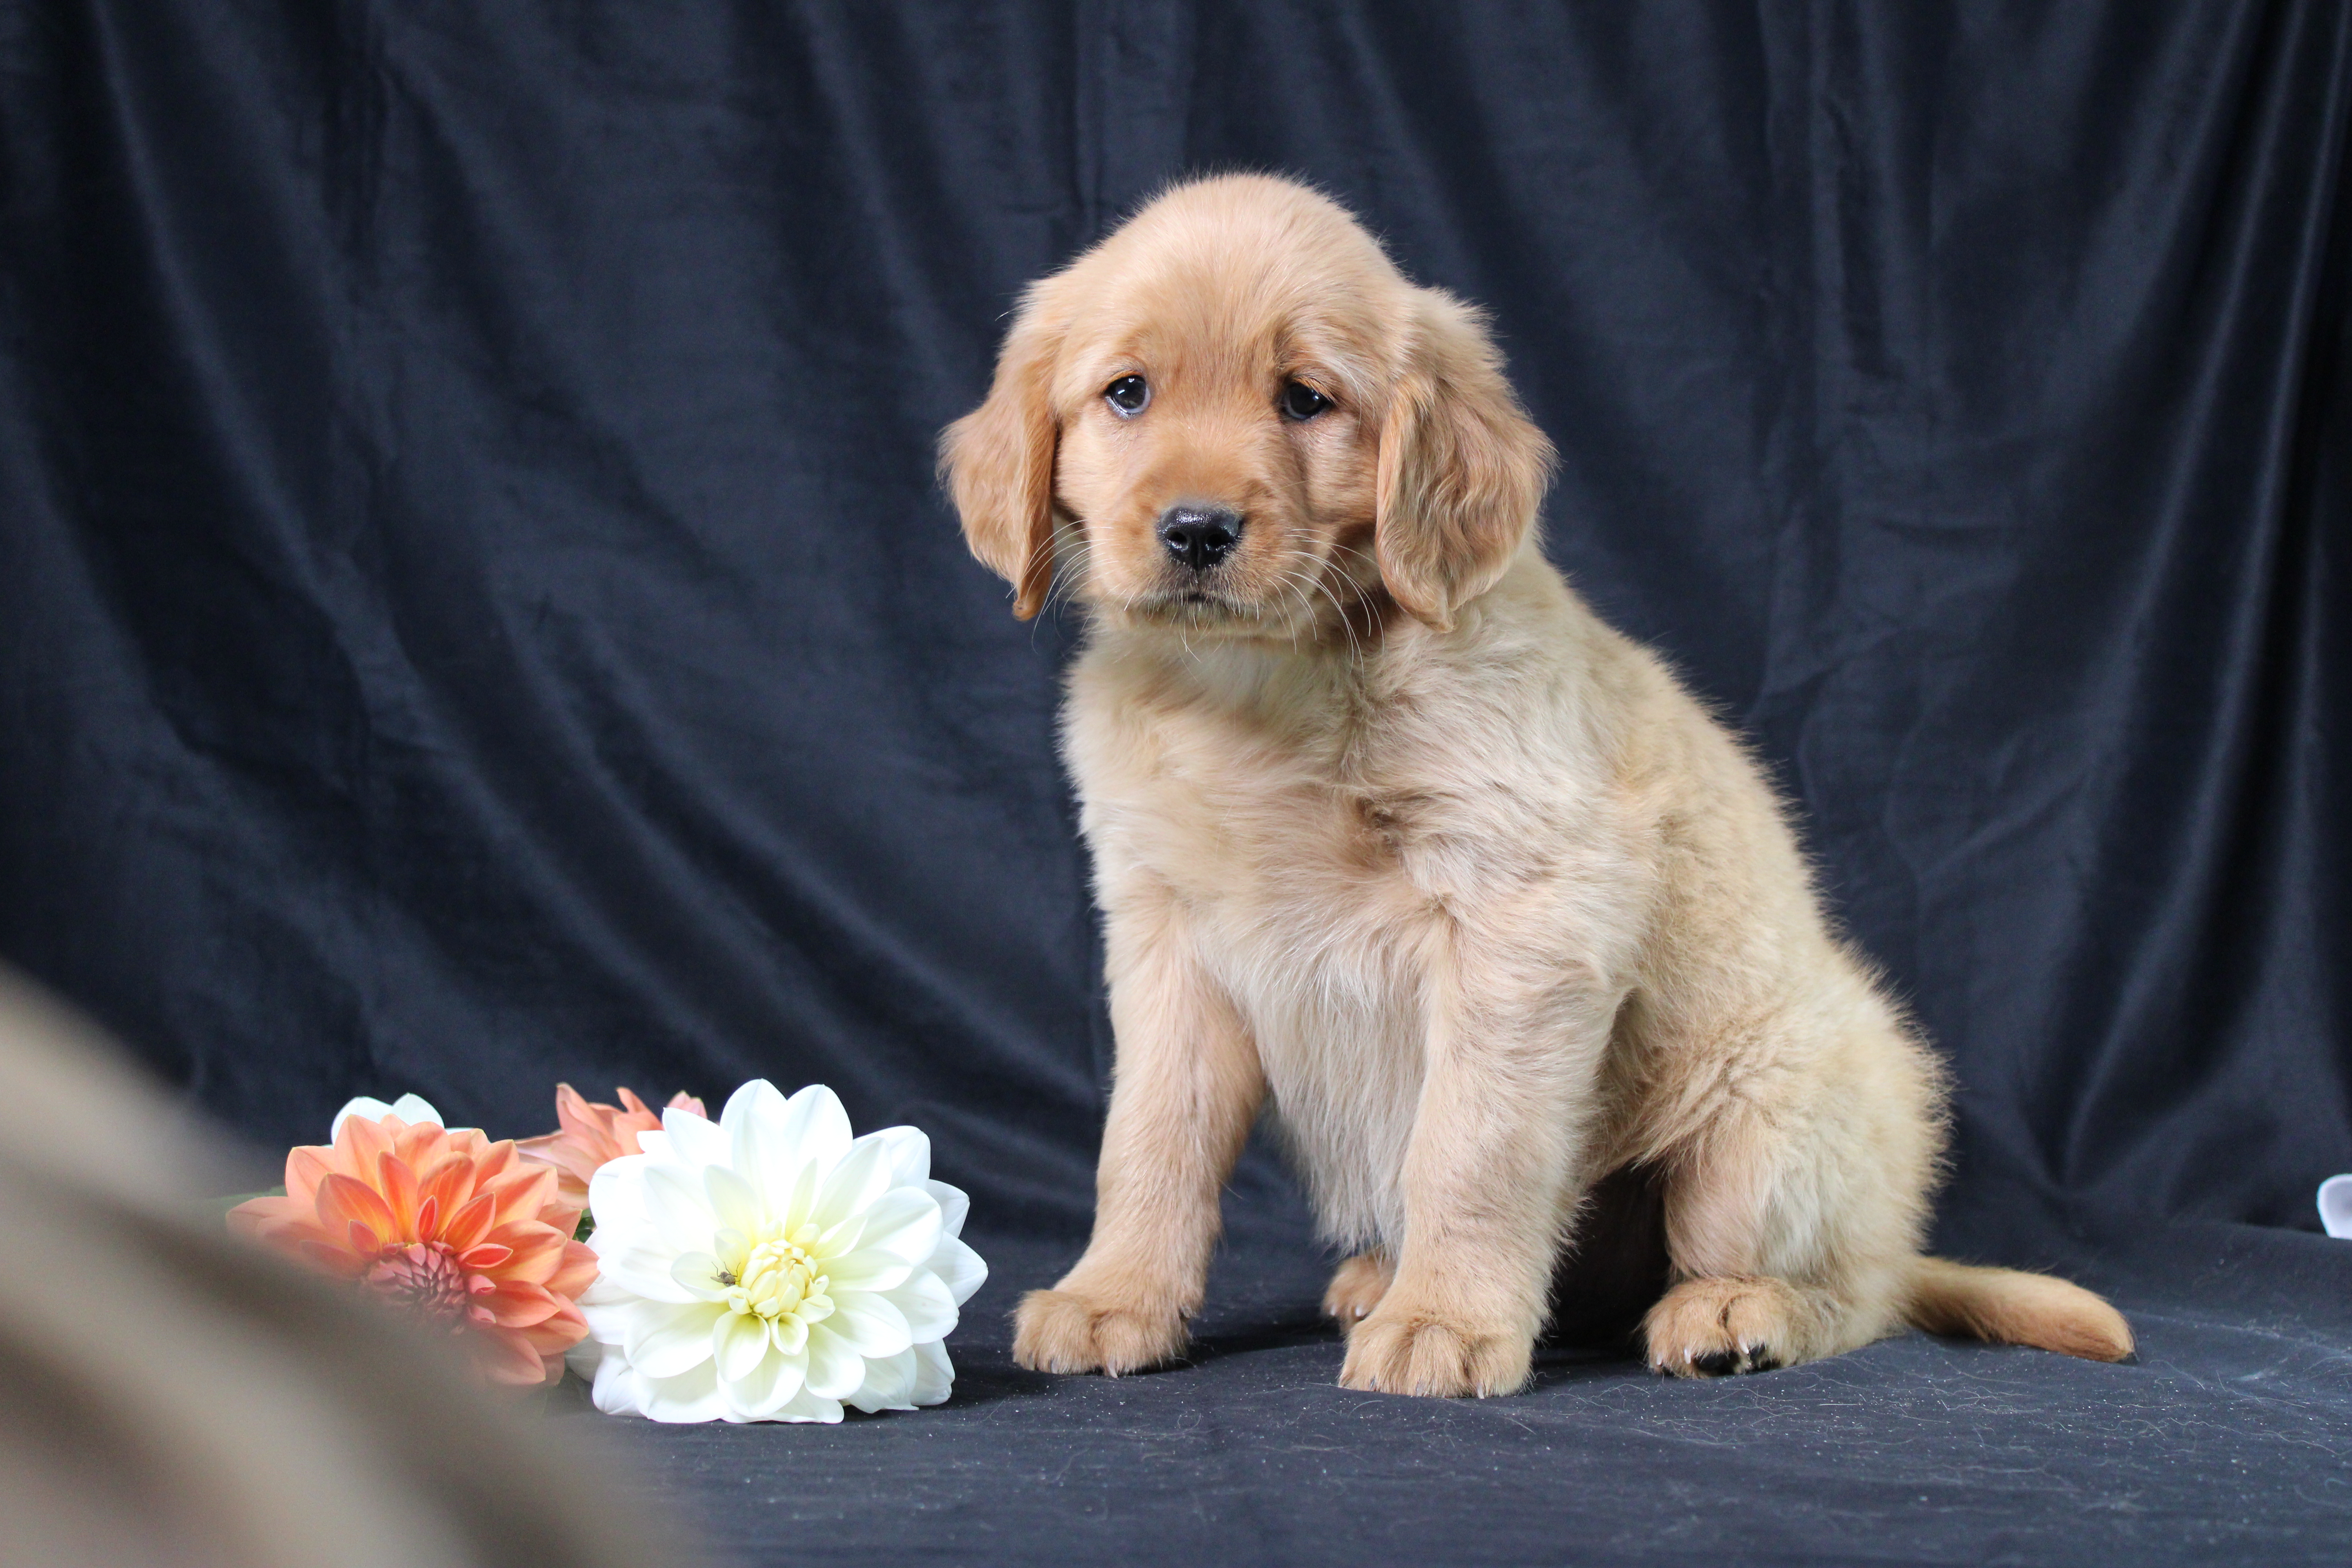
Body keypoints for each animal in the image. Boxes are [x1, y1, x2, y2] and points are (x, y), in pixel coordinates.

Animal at [936, 175, 2136, 1401]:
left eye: (1306, 399)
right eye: (1127, 393)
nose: (1195, 530)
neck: (1263, 692)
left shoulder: (1524, 917)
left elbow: (1472, 1144)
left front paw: (1448, 1321)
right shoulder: (1165, 934)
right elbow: (1150, 1138)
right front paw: (1116, 1295)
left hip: (1764, 1117)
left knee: (1851, 1292)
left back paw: (1734, 1311)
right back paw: (1386, 1277)